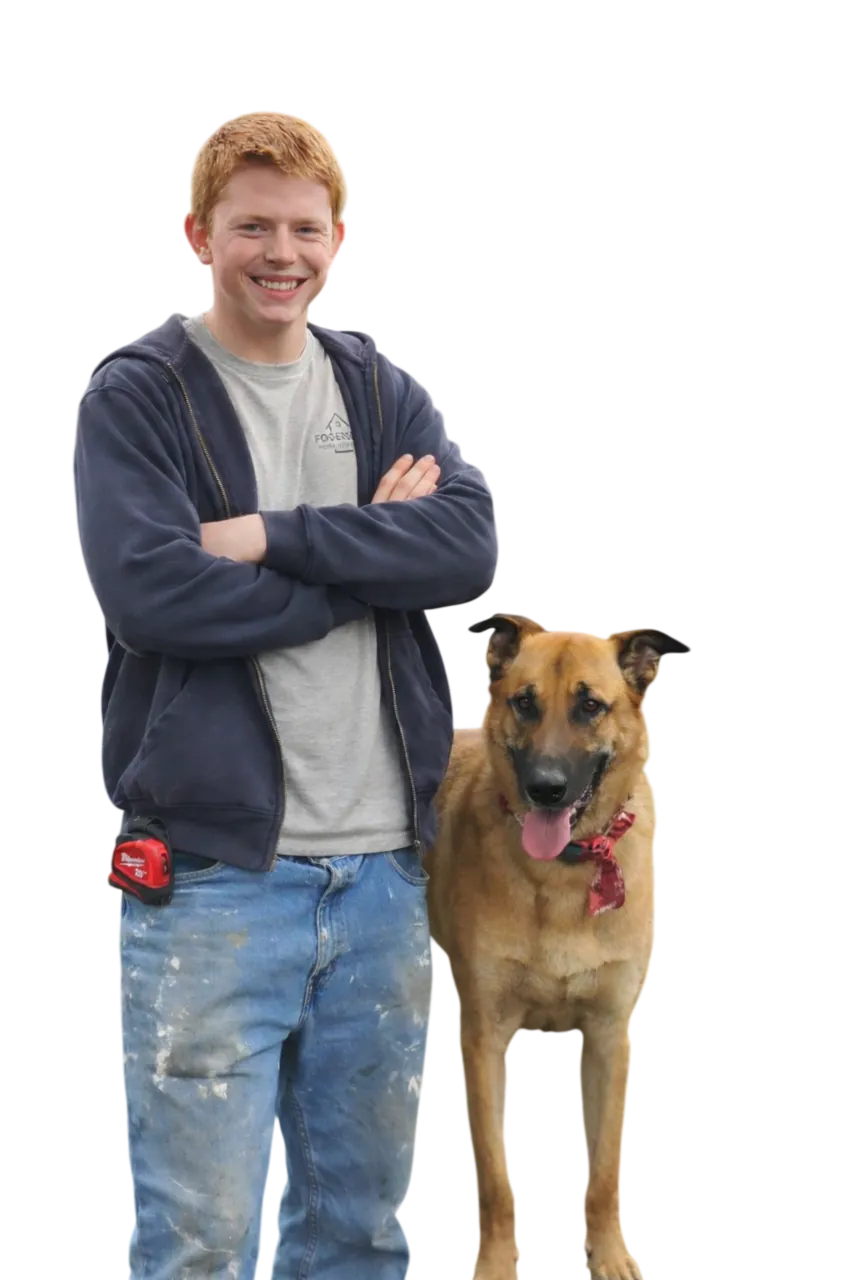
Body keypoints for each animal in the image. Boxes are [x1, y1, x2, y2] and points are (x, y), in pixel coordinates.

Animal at [424, 616, 690, 1279]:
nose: (545, 789)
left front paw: (611, 1255)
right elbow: (496, 1179)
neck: (565, 871)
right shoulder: (485, 1035)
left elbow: (605, 1172)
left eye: (589, 706)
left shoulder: (609, 1034)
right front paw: (496, 1263)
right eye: (525, 702)